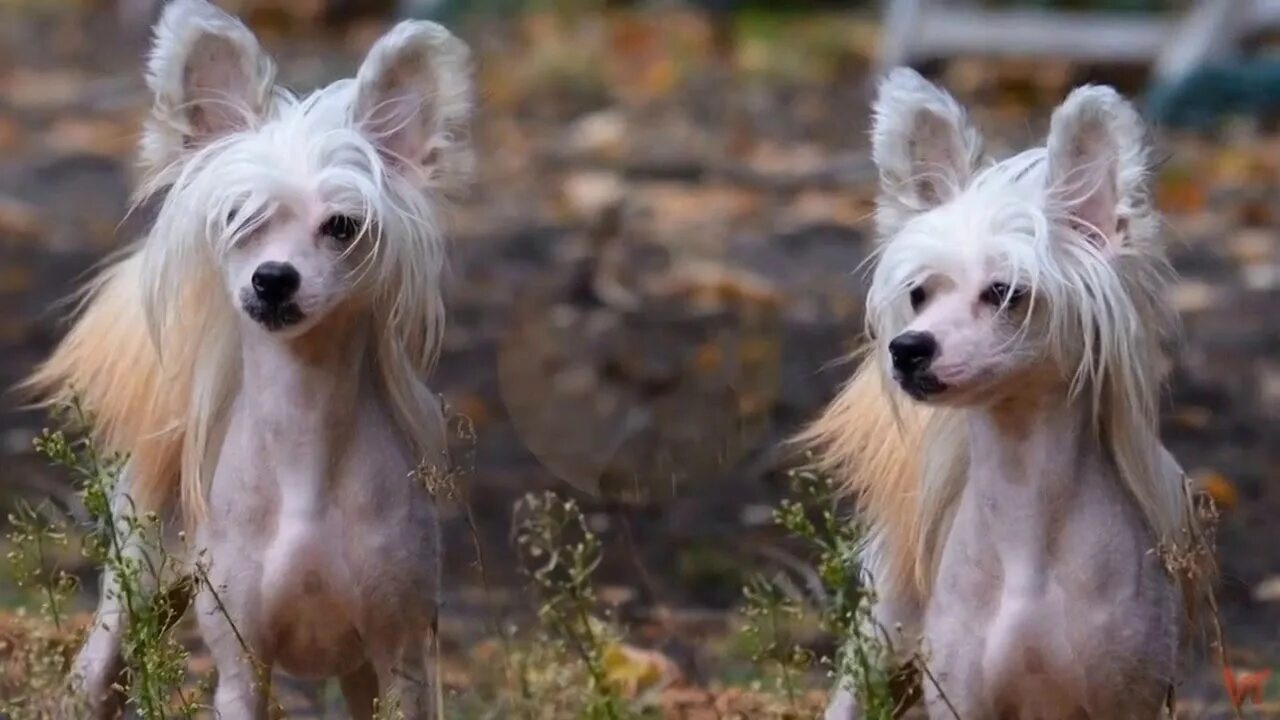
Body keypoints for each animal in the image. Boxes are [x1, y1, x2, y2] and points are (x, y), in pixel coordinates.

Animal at [28, 2, 471, 712]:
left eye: (342, 226)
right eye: (238, 216)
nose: (273, 279)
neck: (303, 448)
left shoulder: (399, 656)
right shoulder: (241, 666)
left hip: (358, 671)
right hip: (133, 584)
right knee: (98, 675)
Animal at [803, 68, 1203, 717]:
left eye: (1005, 293)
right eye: (918, 294)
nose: (907, 348)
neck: (1025, 531)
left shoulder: (1126, 696)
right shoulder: (959, 696)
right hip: (883, 635)